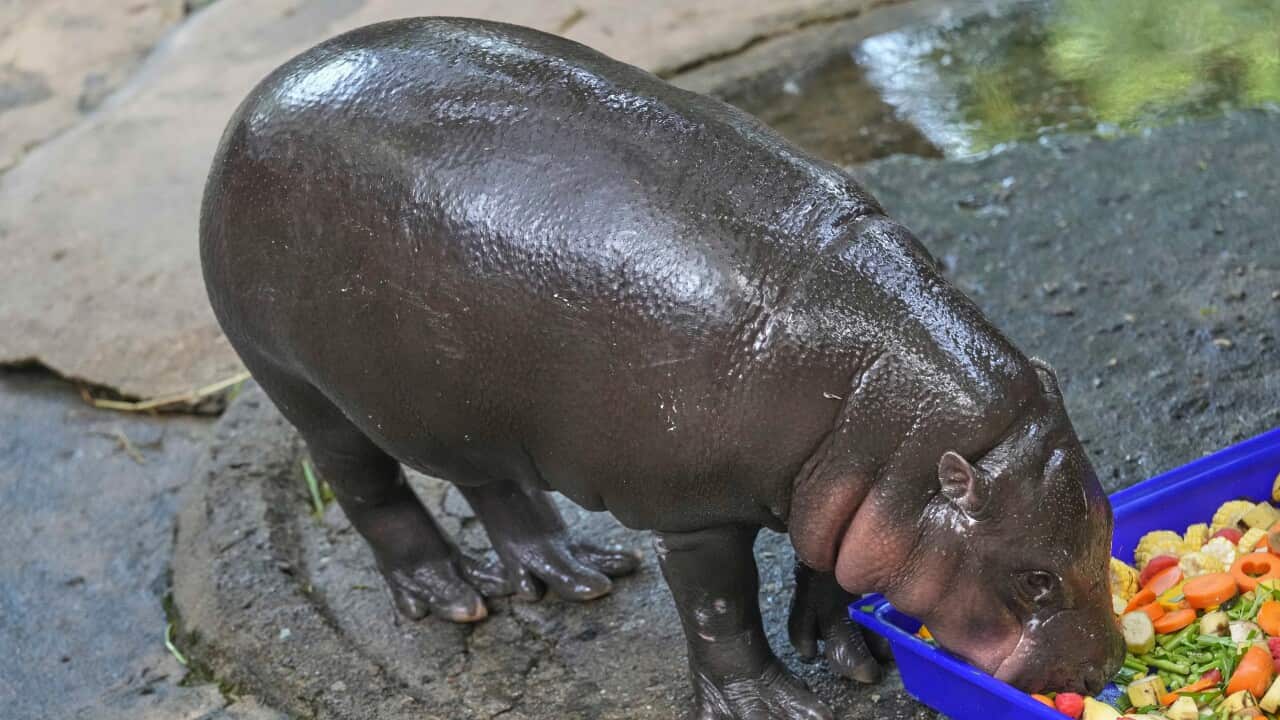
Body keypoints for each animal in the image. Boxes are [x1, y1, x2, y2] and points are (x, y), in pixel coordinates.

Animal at [199, 17, 1124, 719]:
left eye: (1108, 519)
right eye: (1036, 579)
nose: (1102, 670)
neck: (880, 398)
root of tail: (259, 95)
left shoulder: (845, 486)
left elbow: (829, 560)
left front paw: (850, 650)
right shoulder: (695, 513)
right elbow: (721, 609)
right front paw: (772, 704)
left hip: (462, 399)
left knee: (491, 484)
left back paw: (570, 573)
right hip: (302, 387)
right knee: (371, 489)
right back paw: (450, 595)